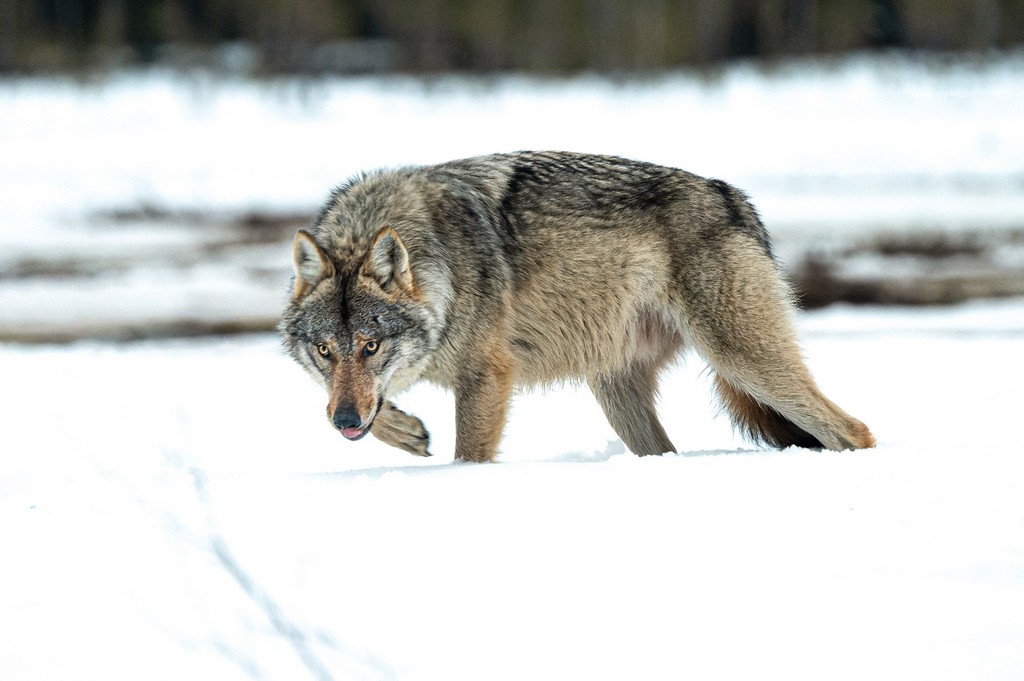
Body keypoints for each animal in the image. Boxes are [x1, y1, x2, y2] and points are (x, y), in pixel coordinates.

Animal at [278, 152, 872, 462]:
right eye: (326, 350)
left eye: (371, 345)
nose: (346, 421)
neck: (439, 261)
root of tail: (735, 198)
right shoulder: (352, 394)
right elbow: (356, 409)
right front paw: (402, 431)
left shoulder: (487, 377)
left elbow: (468, 455)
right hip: (616, 390)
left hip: (742, 362)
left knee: (852, 432)